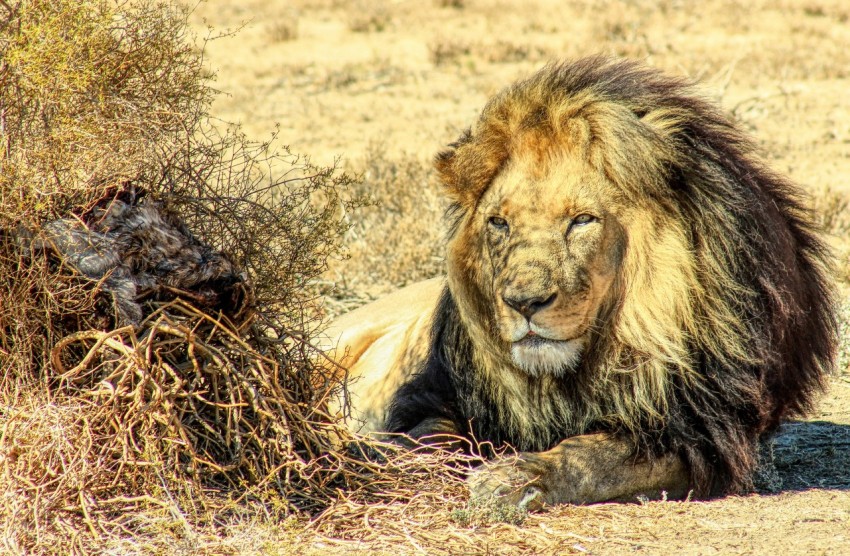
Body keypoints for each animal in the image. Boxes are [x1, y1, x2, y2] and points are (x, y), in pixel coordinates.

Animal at [322, 56, 836, 508]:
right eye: (499, 223)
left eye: (582, 220)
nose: (524, 302)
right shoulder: (438, 395)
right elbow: (426, 437)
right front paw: (370, 458)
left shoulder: (695, 433)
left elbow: (591, 457)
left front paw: (515, 477)